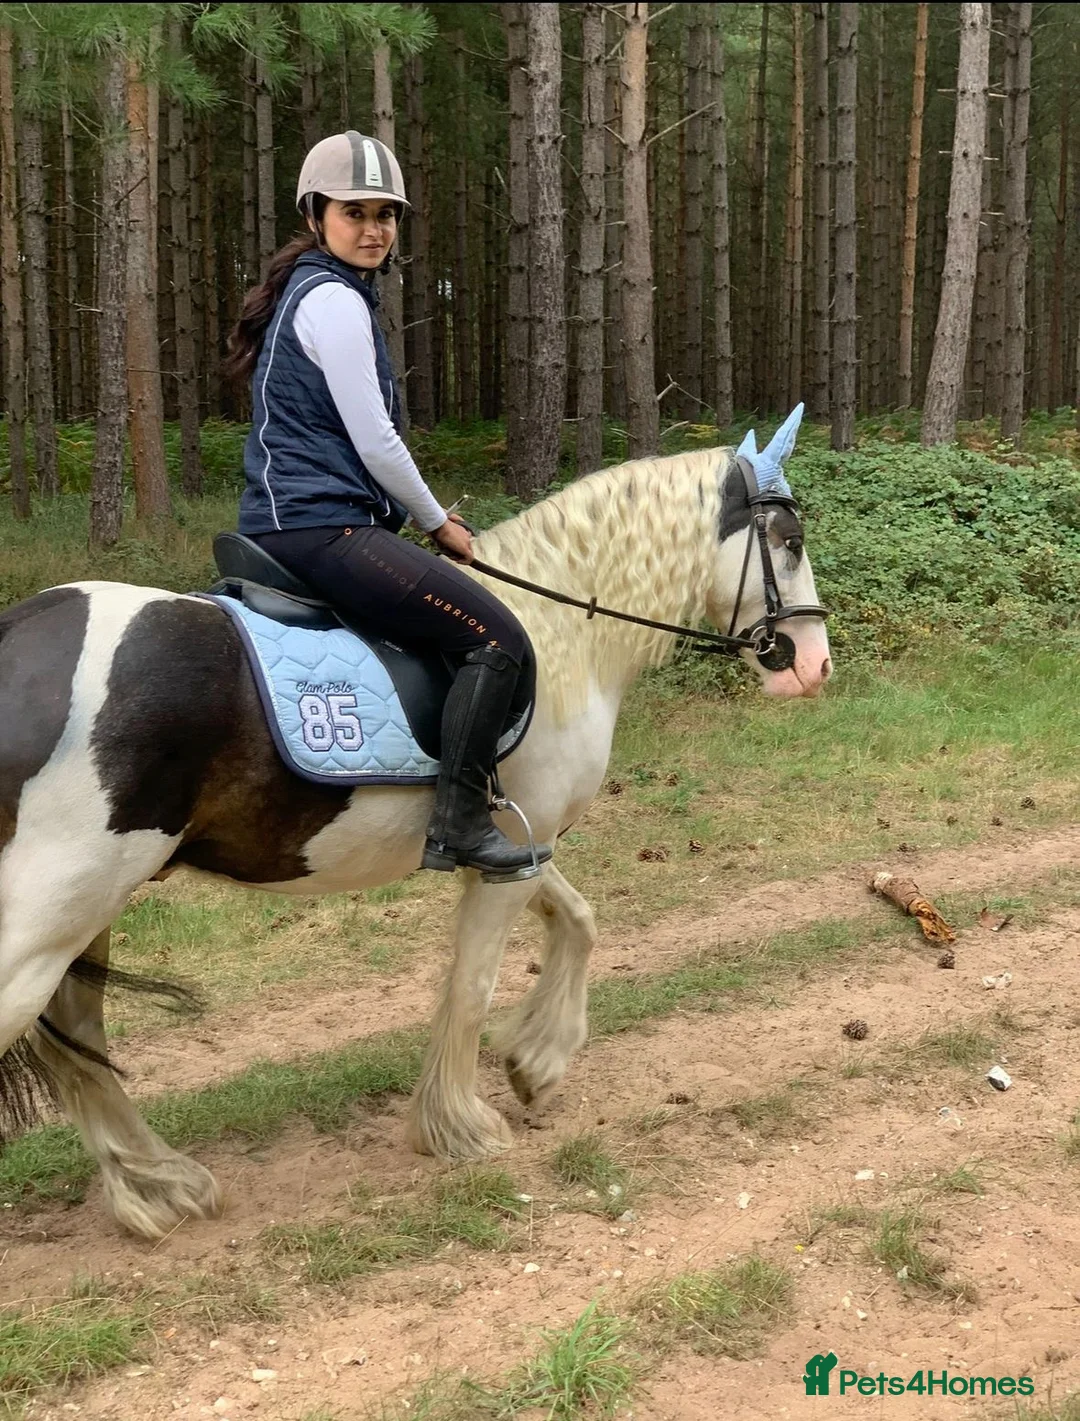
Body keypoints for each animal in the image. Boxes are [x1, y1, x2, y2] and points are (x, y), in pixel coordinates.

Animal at [0, 409, 831, 1239]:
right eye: (788, 539)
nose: (815, 665)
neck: (562, 630)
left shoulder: (510, 844)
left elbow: (579, 920)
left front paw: (537, 1062)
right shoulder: (509, 851)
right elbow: (473, 983)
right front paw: (460, 1125)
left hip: (89, 906)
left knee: (77, 1033)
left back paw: (158, 1185)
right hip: (59, 905)